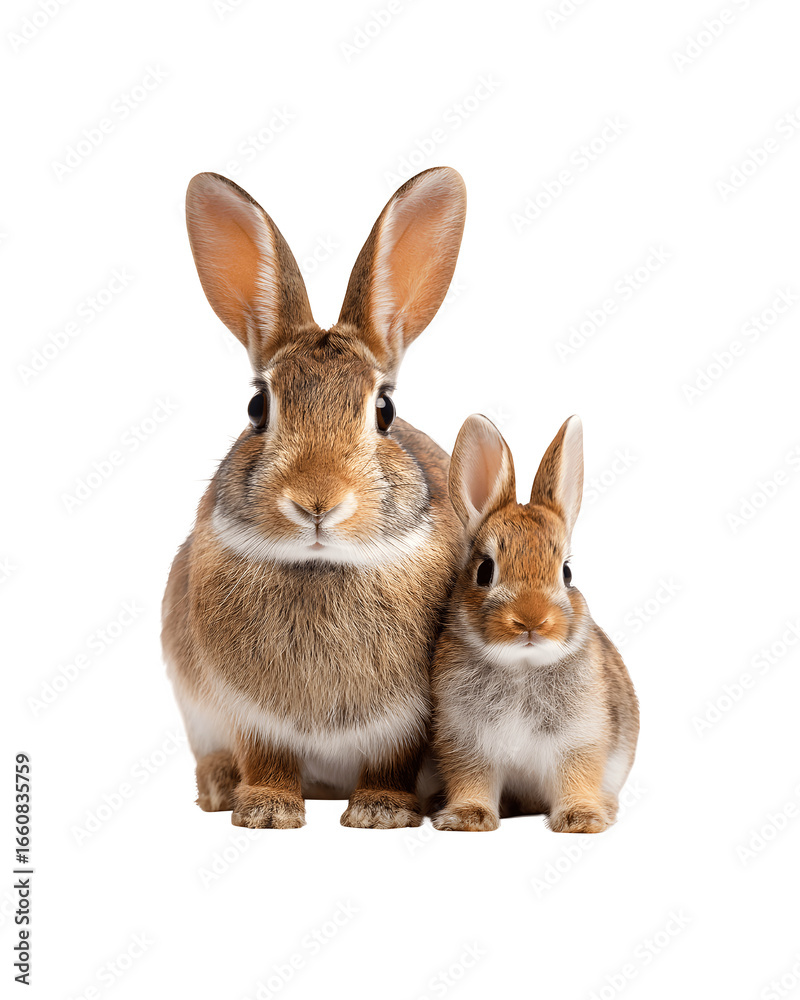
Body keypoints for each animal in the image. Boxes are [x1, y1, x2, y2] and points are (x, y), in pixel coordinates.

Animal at [162, 167, 467, 829]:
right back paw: (220, 789)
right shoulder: (249, 714)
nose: (318, 502)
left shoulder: (404, 725)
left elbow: (390, 762)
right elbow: (266, 757)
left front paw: (381, 813)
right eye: (258, 407)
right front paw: (266, 811)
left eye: (385, 411)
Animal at [430, 414, 639, 833]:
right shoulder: (466, 742)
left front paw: (581, 819)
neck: (522, 666)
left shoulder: (580, 740)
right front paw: (466, 818)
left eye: (568, 573)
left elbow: (576, 777)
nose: (531, 620)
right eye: (485, 571)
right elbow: (472, 780)